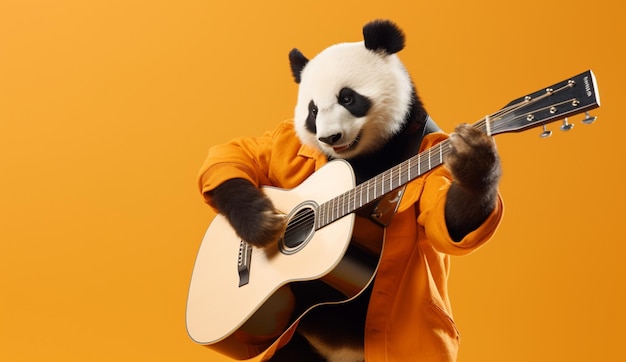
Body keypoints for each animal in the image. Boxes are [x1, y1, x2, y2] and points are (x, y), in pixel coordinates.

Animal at [207, 19, 500, 362]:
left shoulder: (431, 148)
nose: (329, 138)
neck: (362, 159)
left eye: (348, 98)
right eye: (313, 111)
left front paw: (474, 162)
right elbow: (235, 152)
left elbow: (446, 220)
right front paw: (258, 224)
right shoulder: (282, 137)